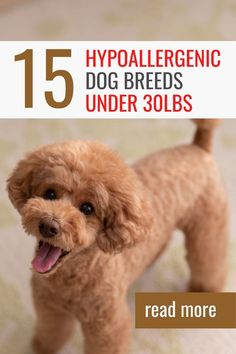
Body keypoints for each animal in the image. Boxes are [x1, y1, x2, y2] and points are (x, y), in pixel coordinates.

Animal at [7, 120, 229, 352]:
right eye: (50, 194)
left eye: (87, 208)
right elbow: (51, 332)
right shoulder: (50, 308)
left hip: (208, 225)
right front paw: (42, 347)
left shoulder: (107, 325)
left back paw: (205, 288)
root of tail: (199, 146)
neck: (71, 278)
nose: (49, 225)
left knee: (210, 258)